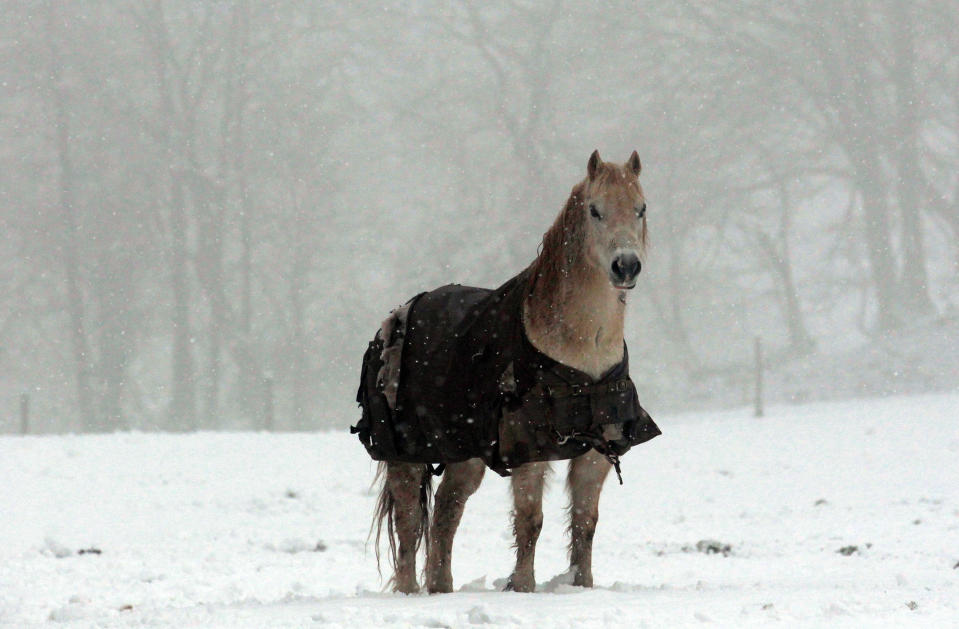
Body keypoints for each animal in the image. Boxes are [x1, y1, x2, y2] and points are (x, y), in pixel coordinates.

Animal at [356, 150, 656, 592]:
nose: (626, 266)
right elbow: (531, 520)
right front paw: (523, 586)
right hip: (404, 454)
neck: (582, 351)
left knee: (446, 511)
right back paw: (411, 592)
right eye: (594, 210)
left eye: (641, 208)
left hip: (465, 453)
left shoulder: (597, 451)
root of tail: (394, 318)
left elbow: (586, 523)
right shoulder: (530, 448)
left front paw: (581, 586)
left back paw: (441, 588)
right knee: (409, 523)